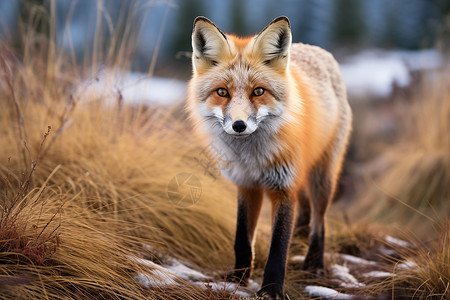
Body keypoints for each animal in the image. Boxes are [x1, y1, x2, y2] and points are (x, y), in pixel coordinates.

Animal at [186, 17, 352, 300]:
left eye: (258, 91)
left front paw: (272, 290)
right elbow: (242, 240)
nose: (239, 125)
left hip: (322, 177)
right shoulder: (246, 185)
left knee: (319, 221)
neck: (252, 158)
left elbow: (278, 249)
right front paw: (238, 279)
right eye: (222, 92)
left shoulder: (283, 188)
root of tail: (316, 49)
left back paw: (314, 264)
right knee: (306, 213)